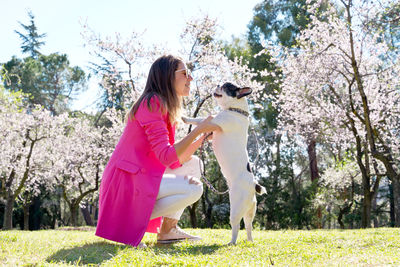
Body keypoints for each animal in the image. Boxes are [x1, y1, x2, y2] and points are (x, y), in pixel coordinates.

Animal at [184, 82, 266, 246]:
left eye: (226, 86)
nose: (217, 84)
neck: (236, 110)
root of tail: (252, 185)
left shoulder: (215, 120)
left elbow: (200, 119)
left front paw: (185, 117)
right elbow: (201, 118)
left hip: (235, 209)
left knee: (236, 226)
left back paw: (232, 242)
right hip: (250, 211)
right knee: (249, 225)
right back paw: (250, 240)